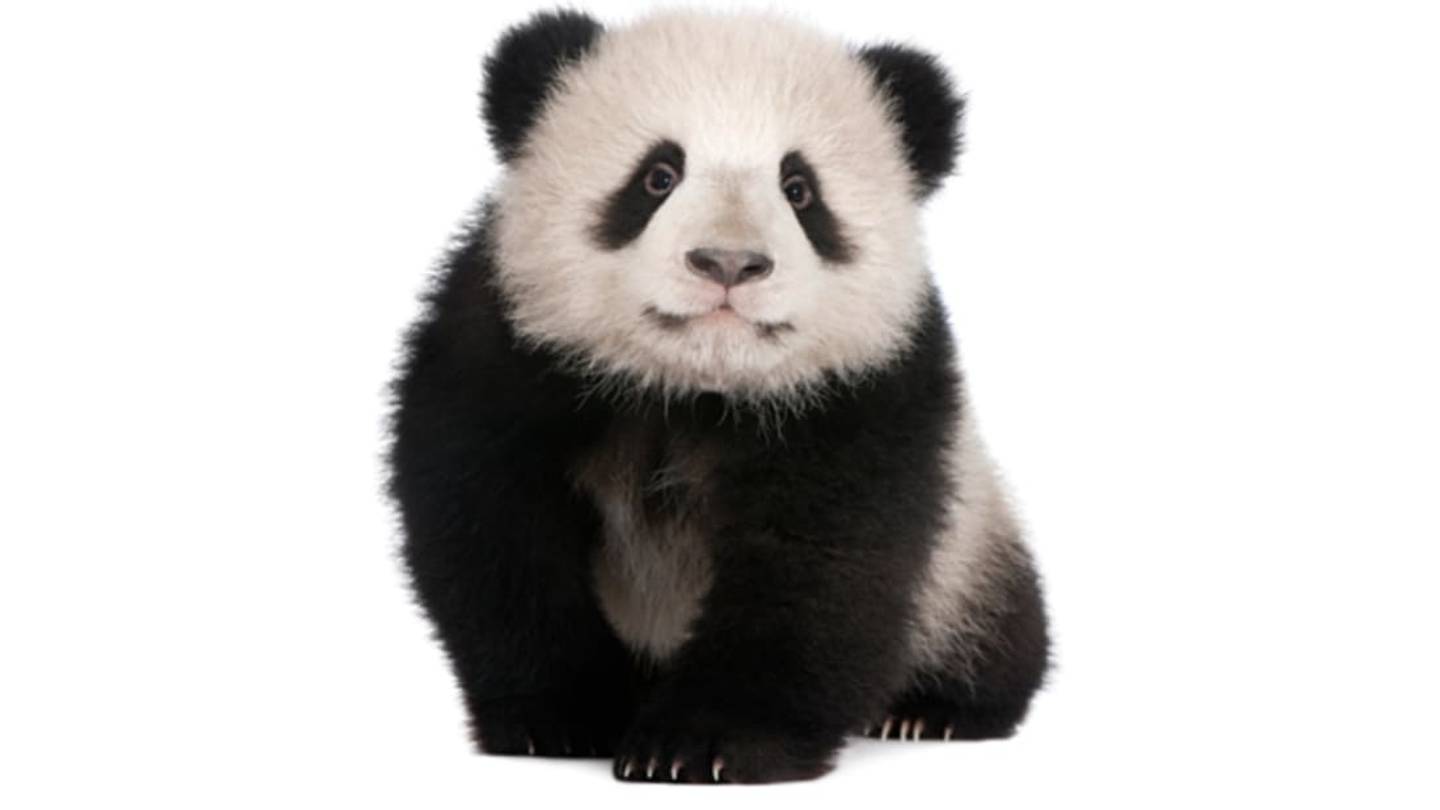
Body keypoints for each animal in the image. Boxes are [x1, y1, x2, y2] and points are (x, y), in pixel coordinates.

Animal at [388, 9, 1049, 784]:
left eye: (799, 189)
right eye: (658, 176)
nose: (728, 263)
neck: (691, 386)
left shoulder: (865, 391)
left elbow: (819, 565)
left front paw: (704, 744)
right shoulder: (506, 351)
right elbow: (495, 531)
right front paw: (563, 718)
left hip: (969, 554)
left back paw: (932, 711)